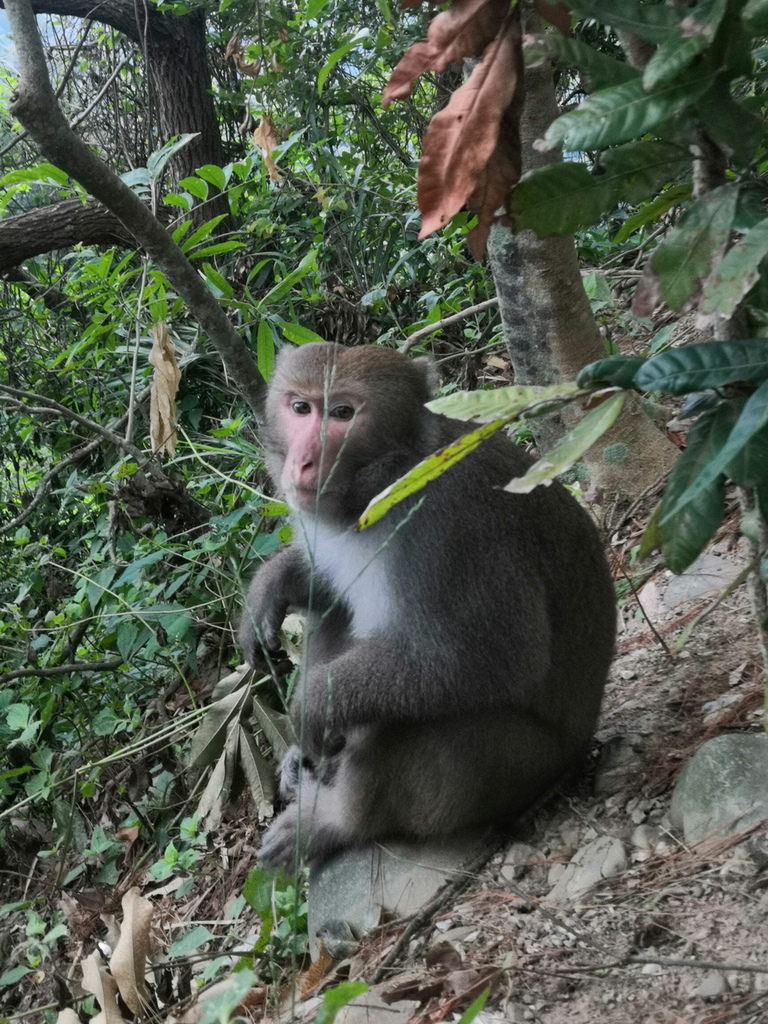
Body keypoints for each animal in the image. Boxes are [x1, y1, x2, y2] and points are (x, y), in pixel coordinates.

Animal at [241, 342, 618, 864]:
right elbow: (327, 585)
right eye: (301, 408)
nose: (303, 464)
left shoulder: (452, 527)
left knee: (406, 716)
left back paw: (335, 825)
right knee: (336, 615)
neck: (391, 477)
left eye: (342, 414)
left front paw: (314, 706)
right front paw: (269, 588)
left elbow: (488, 661)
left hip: (518, 768)